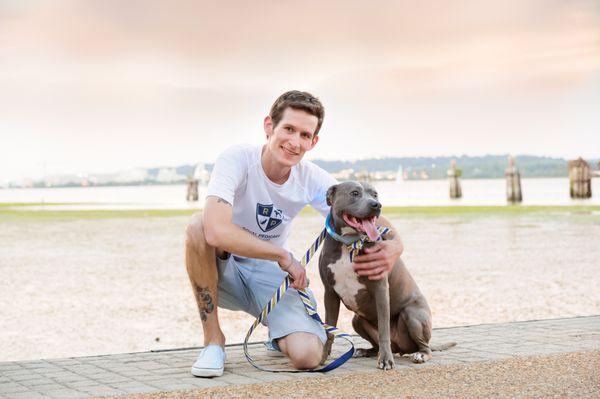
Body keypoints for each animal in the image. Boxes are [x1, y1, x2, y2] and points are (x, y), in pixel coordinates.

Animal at [318, 183, 454, 370]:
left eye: (375, 194)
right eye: (354, 193)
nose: (376, 205)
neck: (349, 244)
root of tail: (401, 348)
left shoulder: (380, 289)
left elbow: (383, 329)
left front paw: (386, 360)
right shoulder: (329, 293)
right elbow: (329, 330)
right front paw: (323, 357)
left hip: (413, 315)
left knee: (424, 346)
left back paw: (419, 354)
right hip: (357, 320)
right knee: (375, 343)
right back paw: (366, 351)